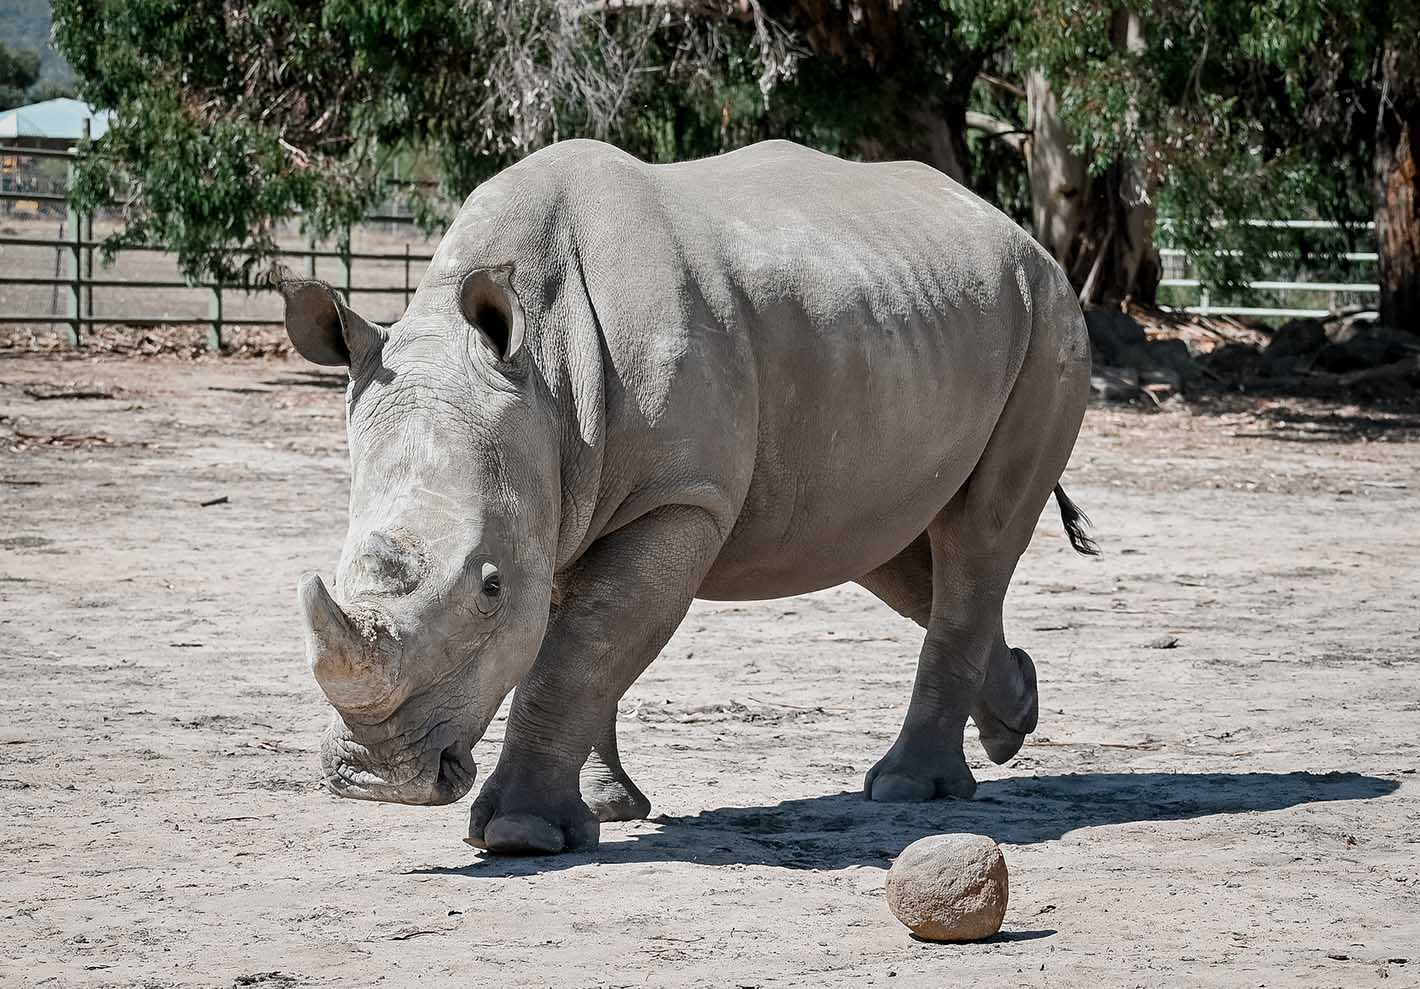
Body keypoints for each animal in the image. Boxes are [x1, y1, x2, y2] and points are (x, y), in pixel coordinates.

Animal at [282, 139, 1095, 855]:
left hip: (1049, 322)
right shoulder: (560, 481)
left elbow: (581, 647)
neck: (545, 365)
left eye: (490, 589)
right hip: (906, 320)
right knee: (892, 552)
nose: (376, 777)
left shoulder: (679, 497)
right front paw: (607, 806)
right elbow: (583, 636)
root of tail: (1019, 233)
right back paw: (1012, 716)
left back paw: (909, 788)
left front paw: (522, 835)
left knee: (976, 535)